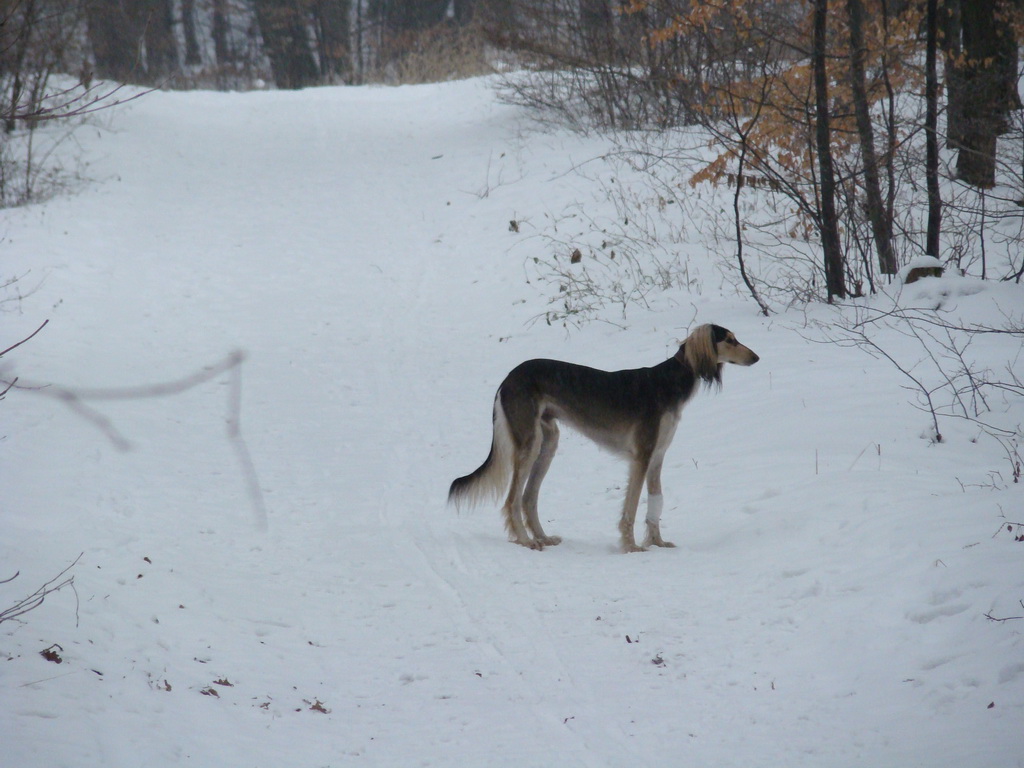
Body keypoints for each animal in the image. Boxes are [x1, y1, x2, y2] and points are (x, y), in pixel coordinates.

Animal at [450, 323, 761, 552]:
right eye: (730, 340)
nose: (756, 358)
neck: (670, 381)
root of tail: (507, 378)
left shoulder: (658, 456)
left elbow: (655, 502)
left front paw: (658, 543)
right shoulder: (642, 456)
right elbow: (632, 507)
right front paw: (631, 547)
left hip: (548, 442)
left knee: (528, 497)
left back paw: (543, 537)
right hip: (529, 442)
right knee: (513, 500)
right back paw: (527, 542)